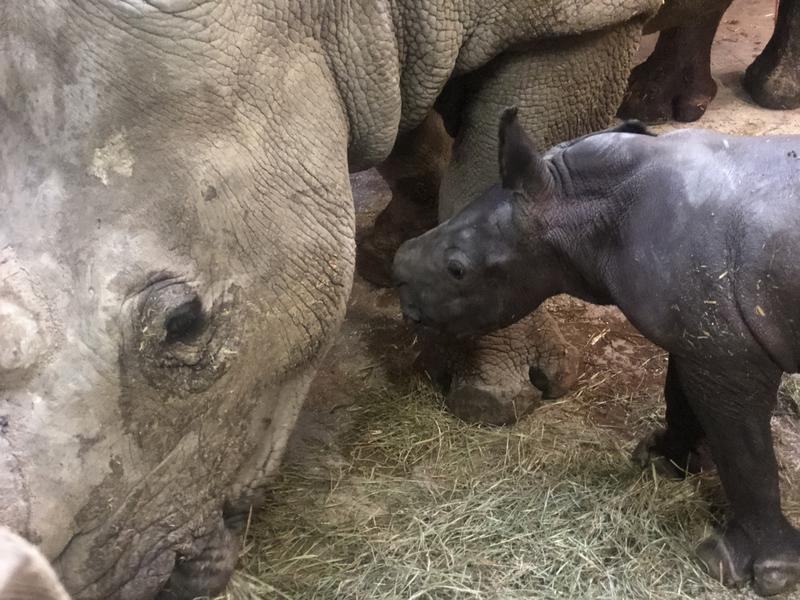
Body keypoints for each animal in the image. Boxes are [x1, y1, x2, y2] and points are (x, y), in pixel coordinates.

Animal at [396, 109, 800, 596]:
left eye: (457, 270)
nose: (398, 283)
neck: (580, 209)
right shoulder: (699, 333)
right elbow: (680, 394)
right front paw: (659, 461)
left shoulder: (731, 354)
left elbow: (744, 451)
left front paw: (743, 568)